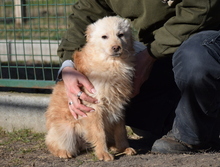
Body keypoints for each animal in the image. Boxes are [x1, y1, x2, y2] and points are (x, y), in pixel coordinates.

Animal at [45, 16, 137, 161]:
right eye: (104, 36)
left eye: (121, 35)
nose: (116, 47)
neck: (112, 64)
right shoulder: (94, 107)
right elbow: (99, 133)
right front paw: (103, 154)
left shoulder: (119, 106)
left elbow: (121, 131)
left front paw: (123, 148)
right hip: (66, 132)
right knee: (51, 143)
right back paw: (62, 152)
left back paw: (114, 147)